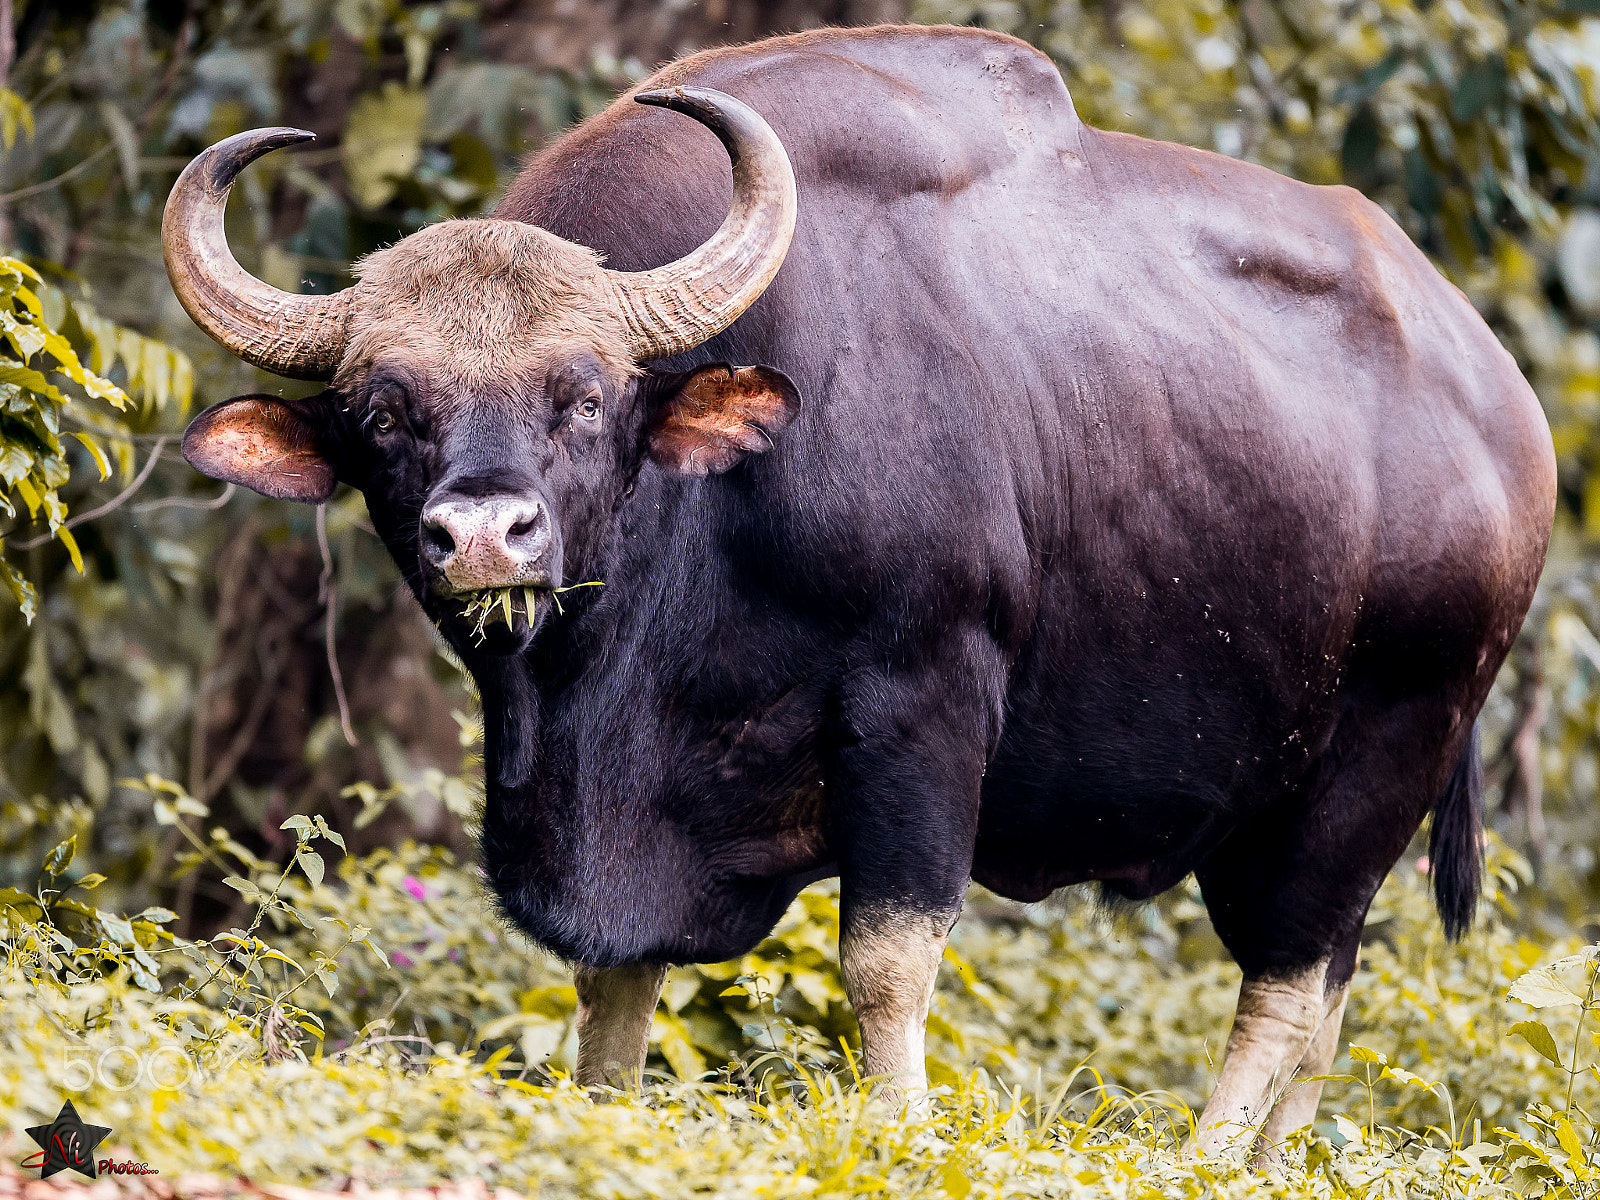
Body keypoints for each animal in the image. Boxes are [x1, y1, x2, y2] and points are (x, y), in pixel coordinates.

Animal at [163, 24, 1554, 1153]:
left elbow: (886, 959)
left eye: (586, 396)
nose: (486, 537)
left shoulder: (923, 703)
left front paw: (897, 1126)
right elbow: (616, 979)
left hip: (1382, 755)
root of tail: (1505, 413)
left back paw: (1213, 1157)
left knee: (1285, 979)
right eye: (383, 412)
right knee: (1326, 990)